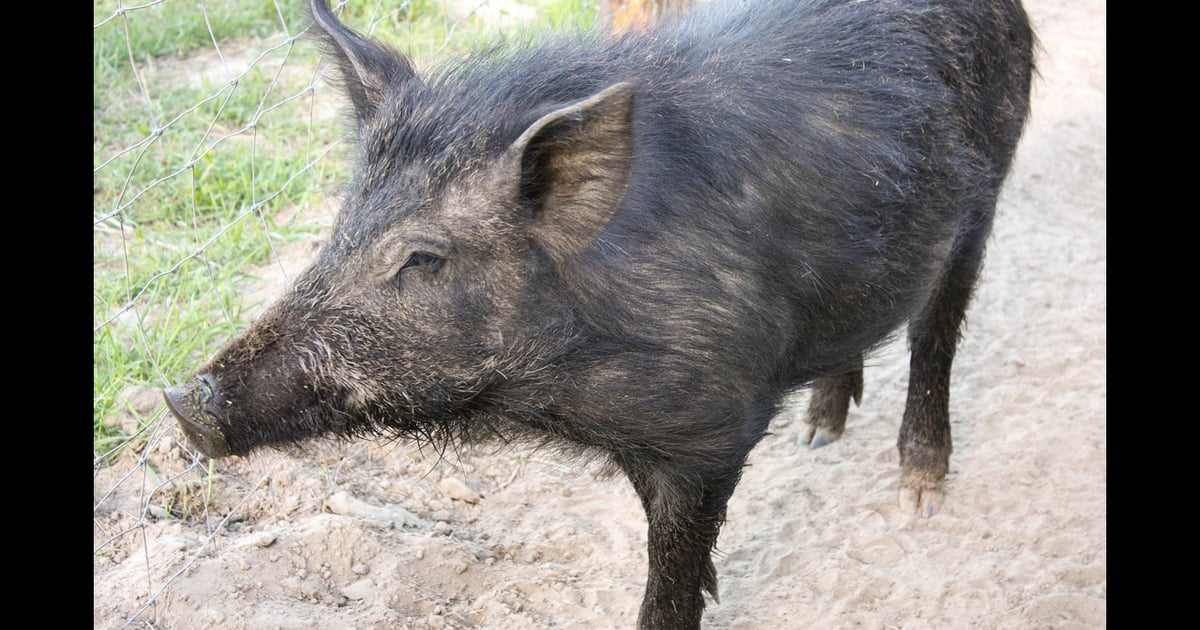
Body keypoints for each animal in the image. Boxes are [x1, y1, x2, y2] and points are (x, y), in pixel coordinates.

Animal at [164, 0, 1035, 627]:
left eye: (423, 258)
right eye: (341, 227)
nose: (182, 398)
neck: (561, 393)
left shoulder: (709, 430)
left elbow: (671, 570)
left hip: (988, 185)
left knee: (936, 329)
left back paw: (919, 490)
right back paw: (819, 433)